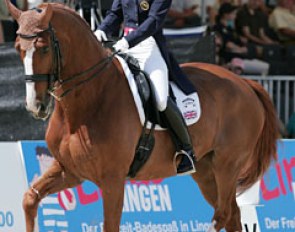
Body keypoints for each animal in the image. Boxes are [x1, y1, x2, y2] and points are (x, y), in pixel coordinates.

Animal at [6, 1, 280, 232]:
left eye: (42, 49)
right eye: (18, 49)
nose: (35, 106)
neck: (87, 103)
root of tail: (245, 83)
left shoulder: (112, 180)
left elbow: (110, 226)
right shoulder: (69, 171)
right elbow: (29, 198)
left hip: (228, 164)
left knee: (222, 214)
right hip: (205, 169)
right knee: (232, 214)